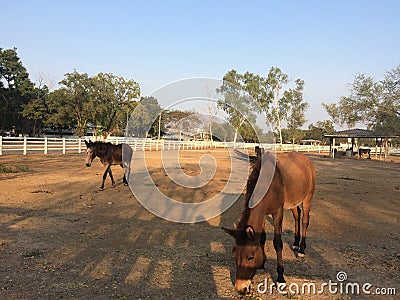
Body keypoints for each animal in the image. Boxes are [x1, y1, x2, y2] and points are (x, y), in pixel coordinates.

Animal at [222, 149, 316, 294]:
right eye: (234, 254)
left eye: (250, 257)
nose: (241, 288)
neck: (267, 183)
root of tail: (306, 159)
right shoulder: (263, 213)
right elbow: (262, 238)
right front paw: (262, 263)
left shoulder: (278, 213)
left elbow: (277, 243)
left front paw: (280, 278)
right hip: (293, 201)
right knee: (297, 215)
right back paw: (295, 243)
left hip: (307, 198)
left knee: (305, 220)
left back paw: (301, 250)